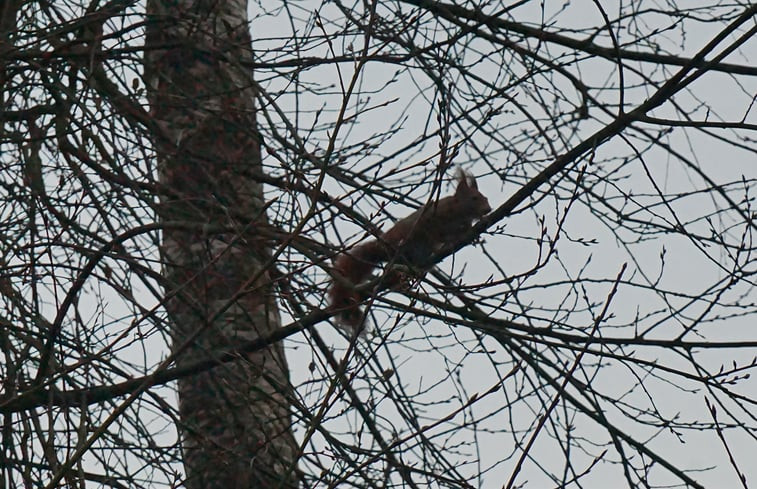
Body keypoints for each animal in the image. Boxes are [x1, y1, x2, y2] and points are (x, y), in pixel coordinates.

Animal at [330, 171, 494, 332]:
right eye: (474, 198)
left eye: (486, 198)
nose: (489, 209)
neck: (459, 212)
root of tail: (383, 246)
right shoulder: (434, 218)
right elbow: (438, 233)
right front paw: (452, 240)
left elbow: (463, 230)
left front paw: (474, 235)